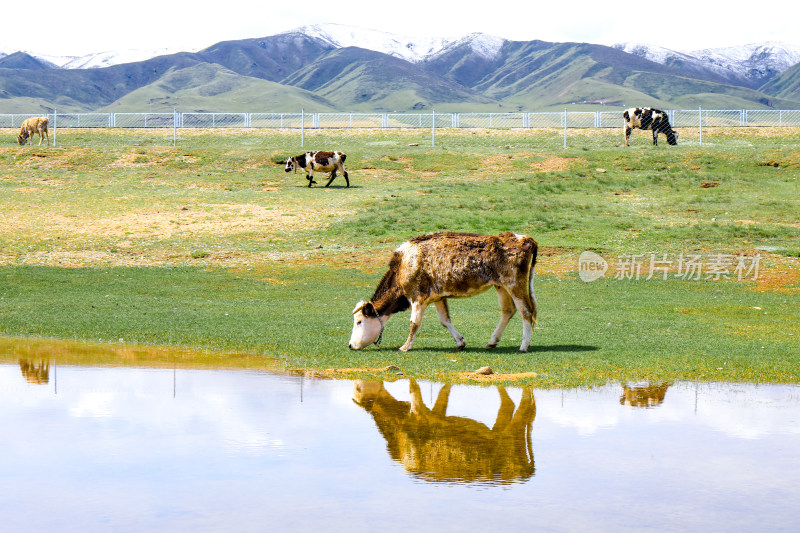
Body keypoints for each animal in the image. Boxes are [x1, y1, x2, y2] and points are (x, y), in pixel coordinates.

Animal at [348, 232, 536, 354]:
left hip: (515, 285)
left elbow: (414, 323)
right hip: (501, 286)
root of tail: (525, 239)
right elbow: (445, 320)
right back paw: (492, 341)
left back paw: (524, 346)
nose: (350, 345)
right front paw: (460, 342)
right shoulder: (438, 297)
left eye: (359, 321)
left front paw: (405, 347)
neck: (403, 265)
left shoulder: (418, 298)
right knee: (508, 311)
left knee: (526, 312)